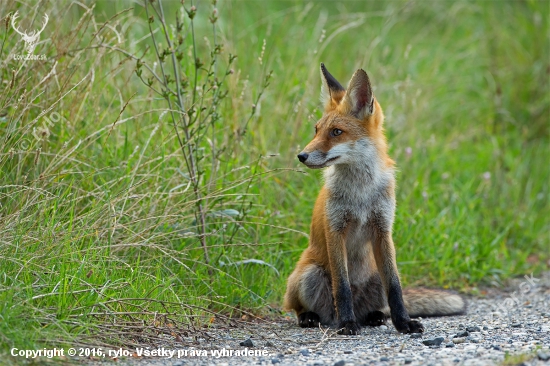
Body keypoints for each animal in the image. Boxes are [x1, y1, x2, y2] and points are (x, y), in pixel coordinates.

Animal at [284, 63, 470, 334]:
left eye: (336, 132)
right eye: (316, 130)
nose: (301, 155)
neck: (360, 193)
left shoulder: (383, 229)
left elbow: (395, 287)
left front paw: (403, 322)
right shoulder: (335, 229)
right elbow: (342, 287)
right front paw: (347, 324)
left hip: (374, 280)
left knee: (379, 304)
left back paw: (375, 317)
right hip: (309, 274)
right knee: (299, 307)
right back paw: (315, 317)